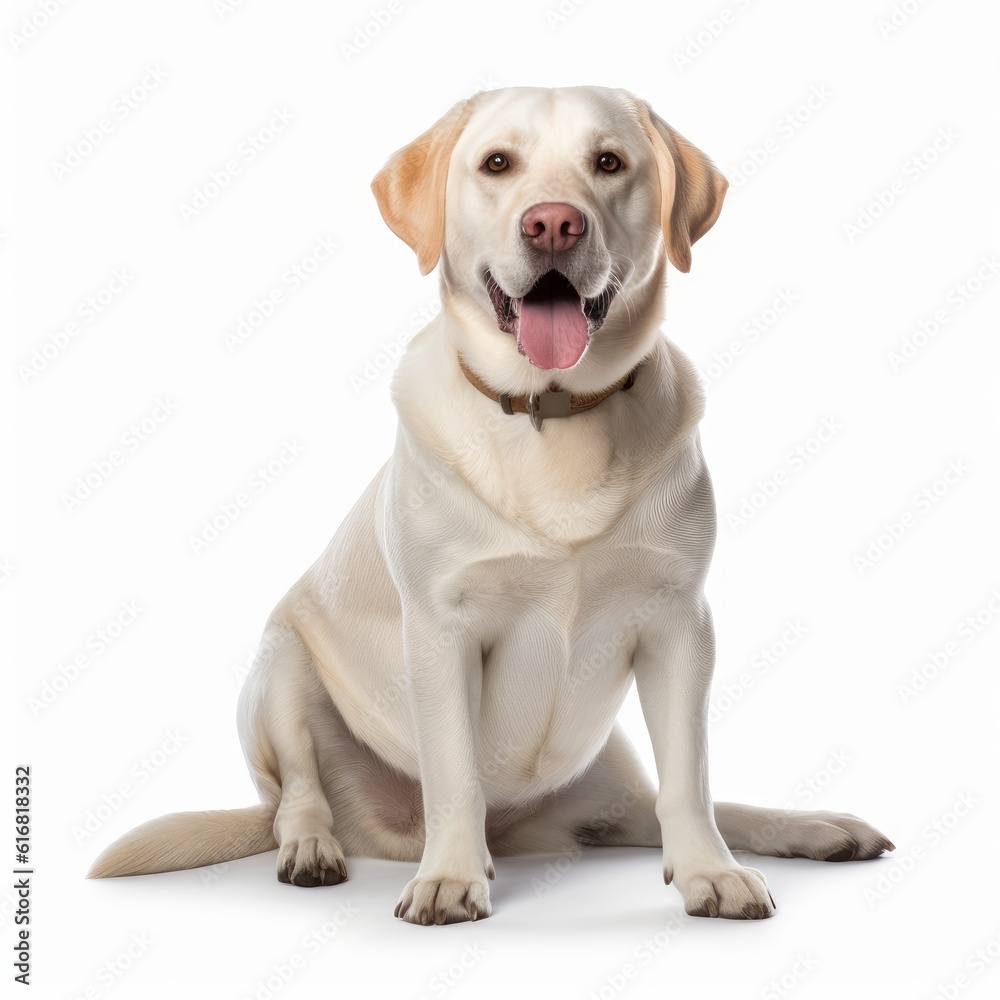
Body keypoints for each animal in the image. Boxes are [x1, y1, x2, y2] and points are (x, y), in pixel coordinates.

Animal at [90, 86, 896, 920]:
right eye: (497, 163)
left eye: (609, 162)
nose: (554, 223)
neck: (553, 413)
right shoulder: (441, 631)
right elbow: (456, 776)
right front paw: (449, 877)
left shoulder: (680, 622)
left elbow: (691, 778)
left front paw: (711, 872)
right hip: (279, 668)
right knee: (296, 796)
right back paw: (312, 849)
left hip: (600, 775)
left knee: (664, 801)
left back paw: (816, 828)